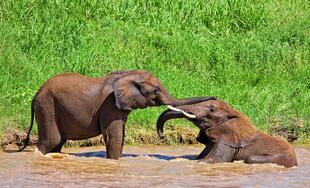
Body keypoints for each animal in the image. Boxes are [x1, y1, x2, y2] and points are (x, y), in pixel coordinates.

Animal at [17, 70, 216, 159]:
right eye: (155, 91)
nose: (215, 97)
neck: (128, 75)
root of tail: (36, 94)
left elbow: (121, 136)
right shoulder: (110, 105)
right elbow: (114, 135)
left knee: (58, 143)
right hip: (47, 107)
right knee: (51, 140)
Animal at [157, 99, 298, 168]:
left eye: (212, 109)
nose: (162, 136)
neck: (233, 112)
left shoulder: (227, 142)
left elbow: (213, 160)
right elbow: (199, 158)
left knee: (250, 159)